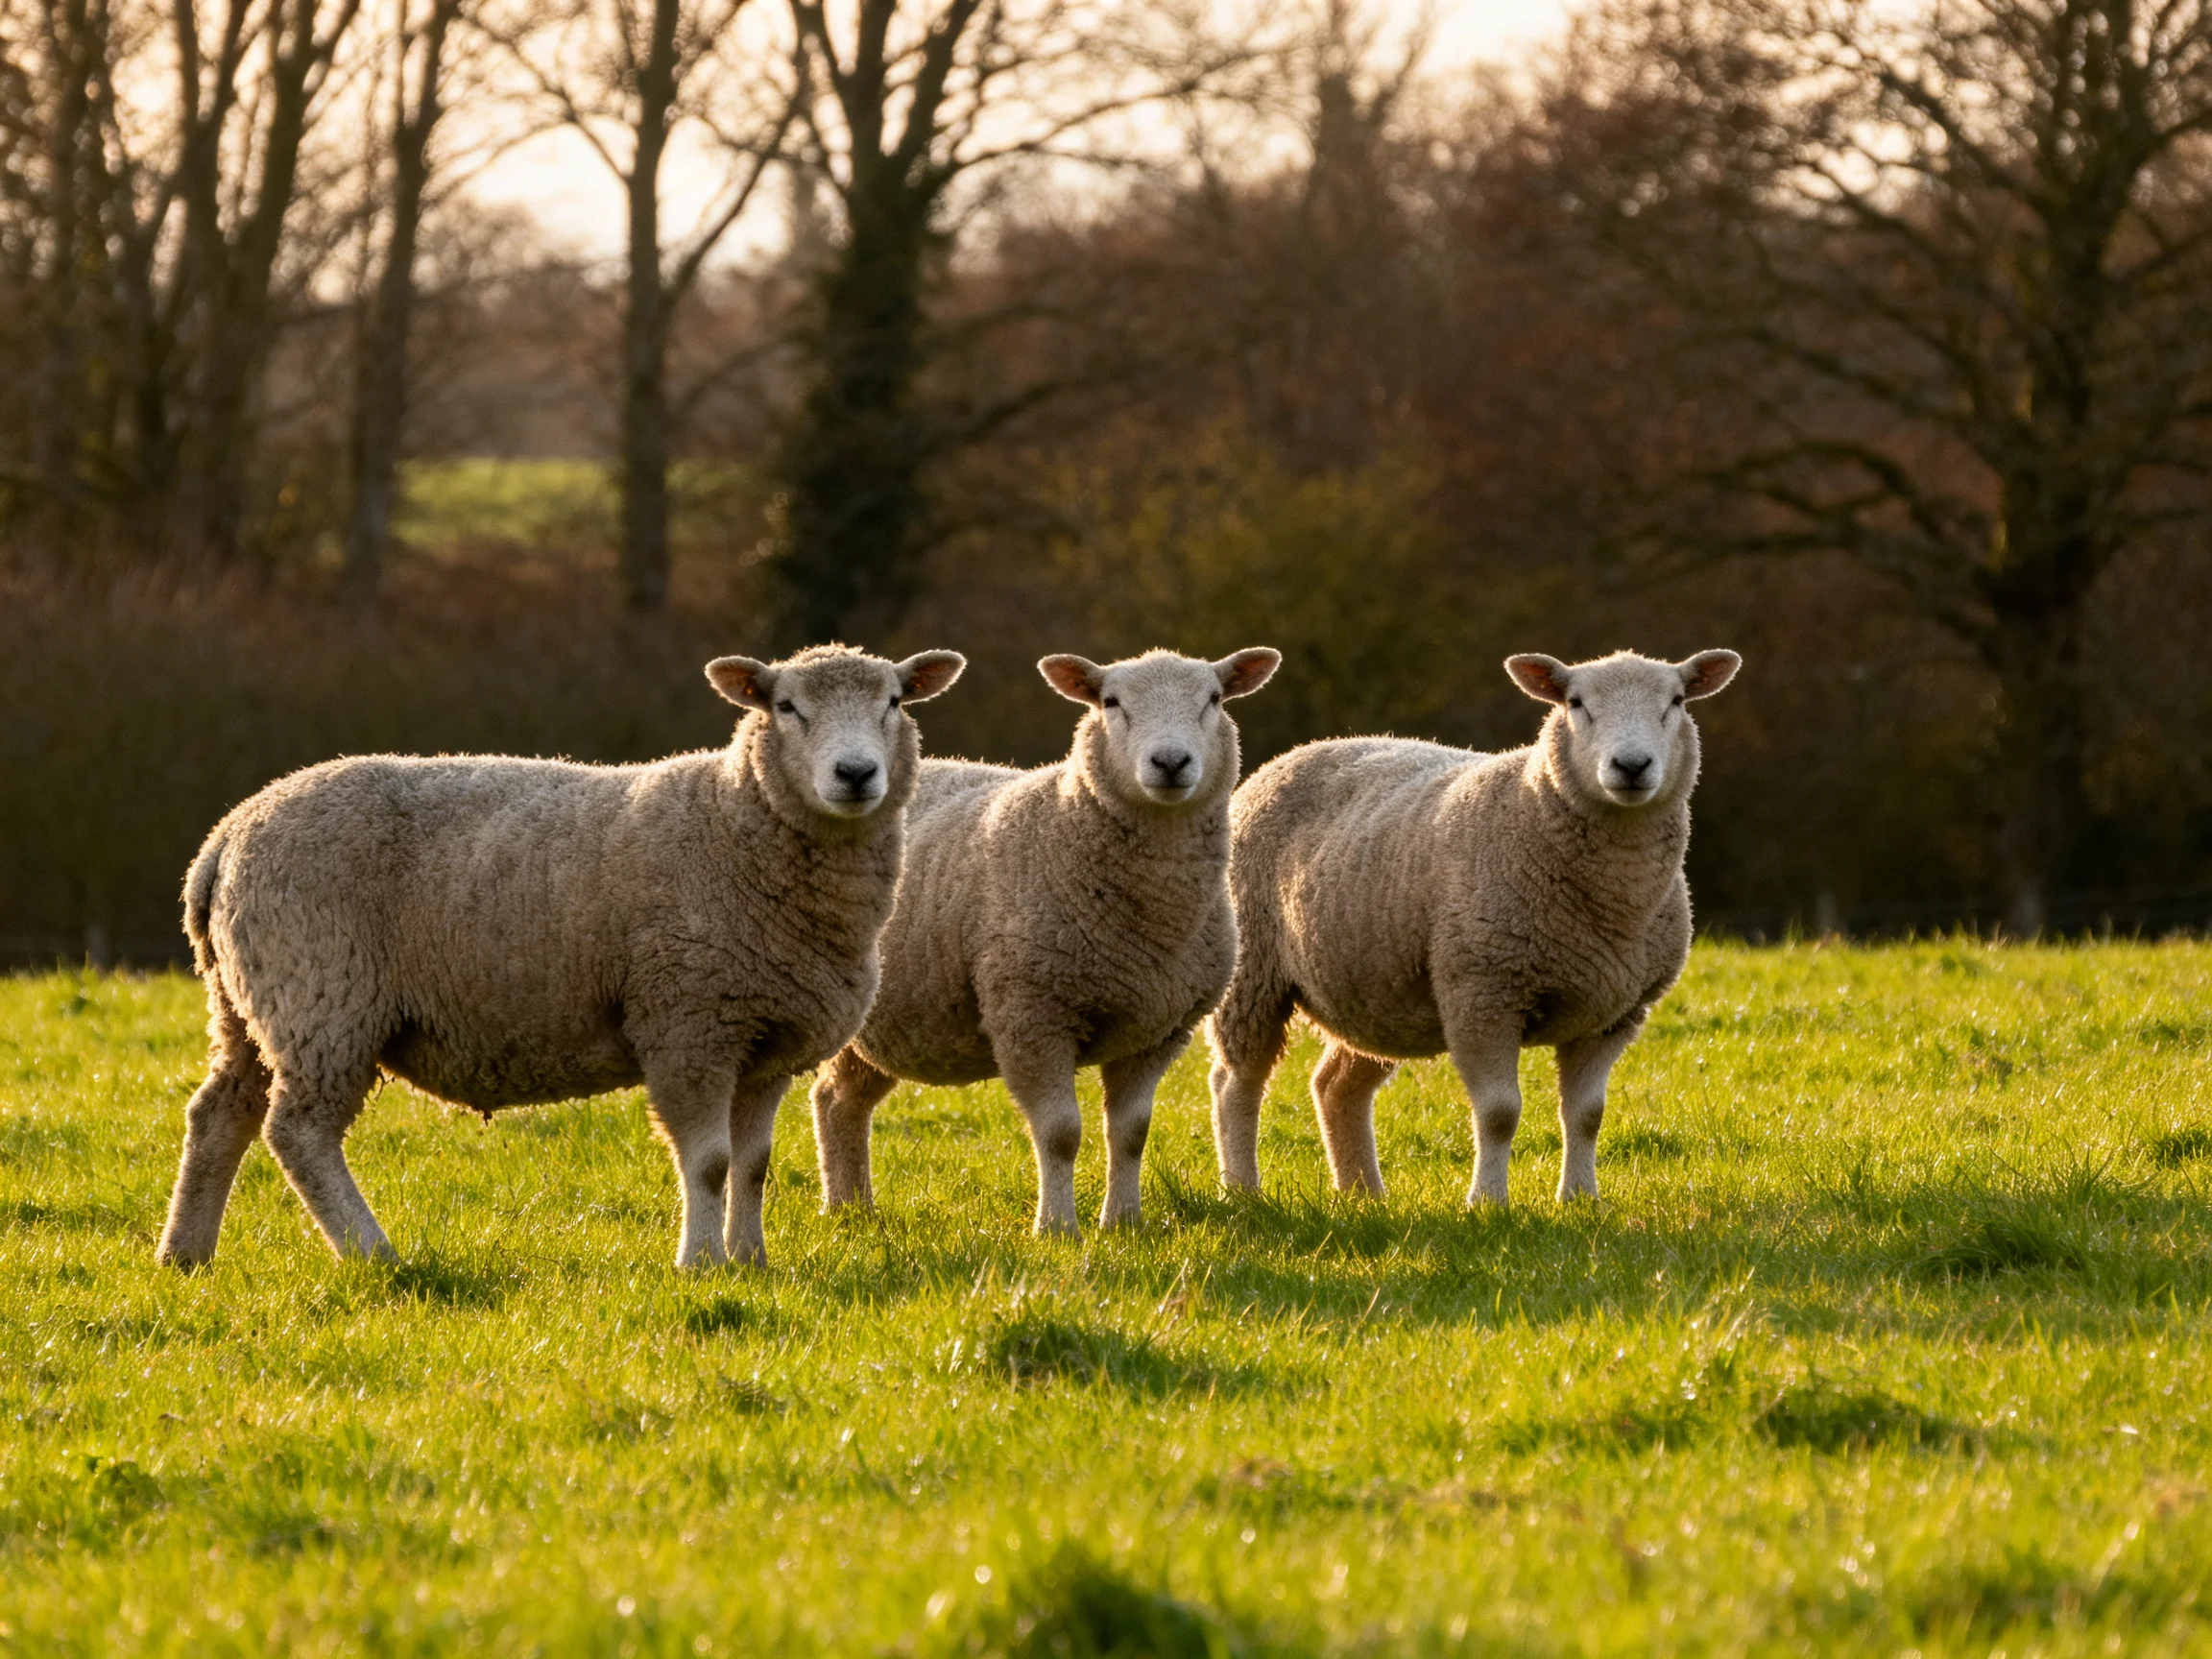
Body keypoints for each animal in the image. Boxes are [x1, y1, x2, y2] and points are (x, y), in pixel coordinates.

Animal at [154, 643, 966, 1273]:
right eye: (787, 706)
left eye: (894, 700)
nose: (855, 774)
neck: (739, 820)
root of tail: (225, 837)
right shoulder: (687, 1022)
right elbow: (708, 1161)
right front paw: (701, 1264)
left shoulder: (765, 1040)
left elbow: (754, 1165)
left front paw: (750, 1259)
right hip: (322, 996)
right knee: (299, 1133)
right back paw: (373, 1253)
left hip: (249, 1003)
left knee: (220, 1113)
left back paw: (186, 1253)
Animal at [810, 647, 1282, 1234]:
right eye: (1111, 702)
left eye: (1214, 699)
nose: (1171, 763)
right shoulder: (1033, 1013)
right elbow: (1060, 1133)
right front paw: (1057, 1228)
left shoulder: (1158, 1029)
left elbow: (1132, 1132)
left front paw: (1123, 1223)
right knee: (830, 1098)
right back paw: (842, 1208)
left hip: (891, 1023)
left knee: (840, 1100)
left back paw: (854, 1210)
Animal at [1206, 648, 1740, 1206]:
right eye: (1575, 703)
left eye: (1676, 701)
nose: (1631, 766)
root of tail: (1293, 755)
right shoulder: (1481, 993)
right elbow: (1500, 1113)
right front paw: (1488, 1202)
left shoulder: (1613, 1014)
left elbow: (1587, 1116)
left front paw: (1580, 1199)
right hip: (1253, 974)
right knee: (1236, 1082)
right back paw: (1242, 1189)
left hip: (1376, 991)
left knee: (1335, 1085)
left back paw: (1364, 1195)